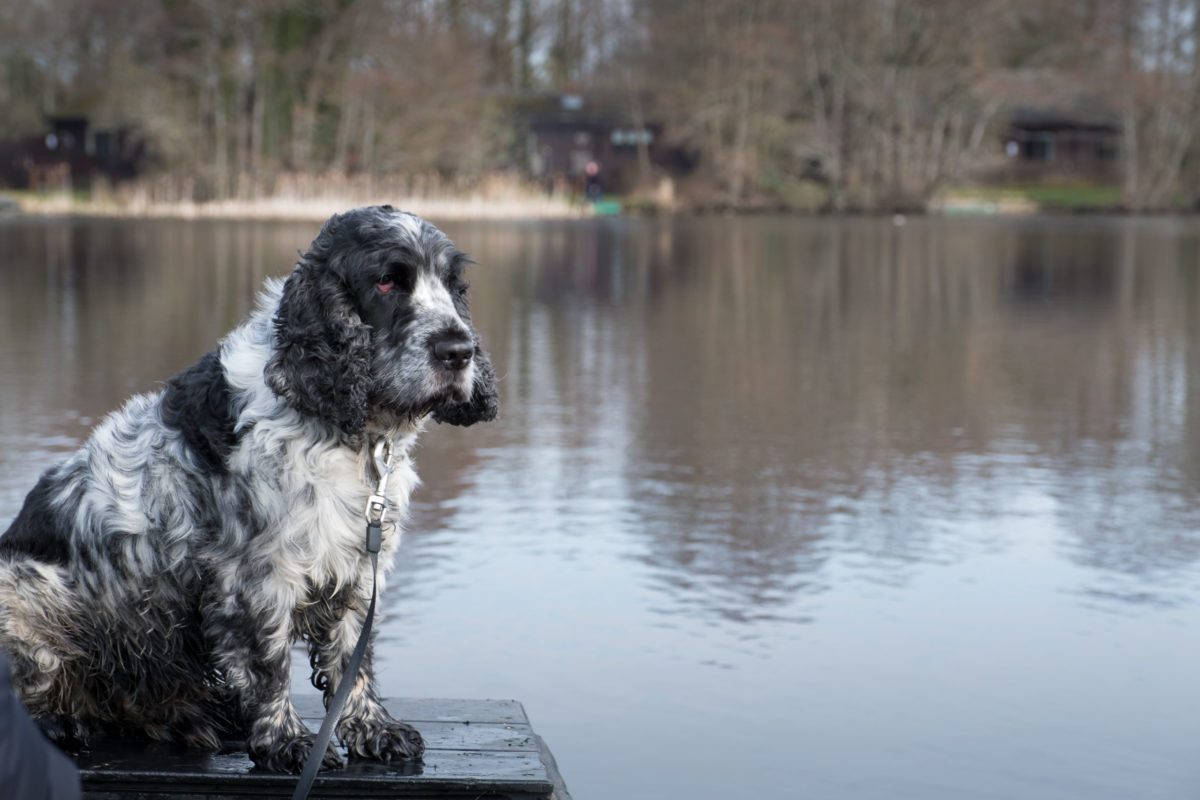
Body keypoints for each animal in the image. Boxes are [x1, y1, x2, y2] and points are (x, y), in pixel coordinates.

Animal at [0, 206, 496, 777]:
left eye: (455, 286)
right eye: (388, 281)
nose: (459, 350)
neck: (344, 429)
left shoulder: (356, 567)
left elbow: (353, 657)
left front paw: (375, 729)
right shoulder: (255, 576)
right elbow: (269, 663)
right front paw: (288, 742)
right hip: (25, 599)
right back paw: (63, 721)